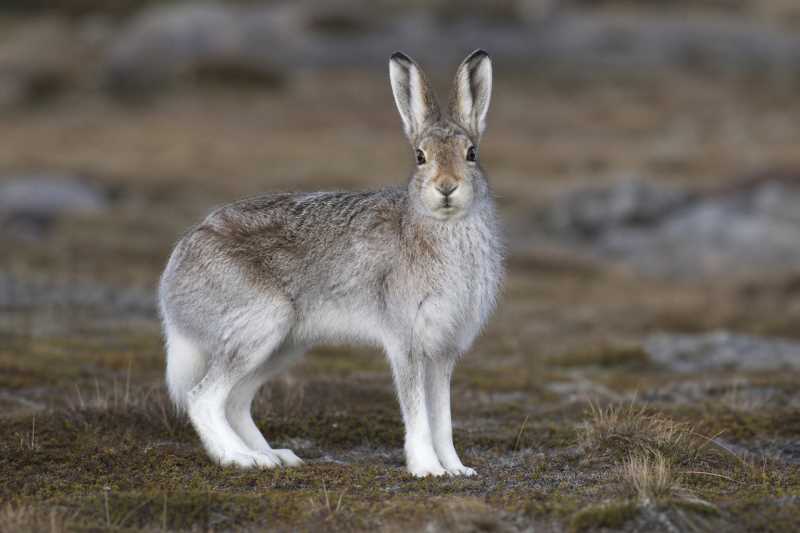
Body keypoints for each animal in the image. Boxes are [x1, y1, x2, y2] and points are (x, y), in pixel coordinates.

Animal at [158, 50, 503, 477]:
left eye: (472, 153)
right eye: (420, 157)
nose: (446, 187)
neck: (443, 225)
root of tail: (172, 285)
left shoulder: (443, 351)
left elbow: (444, 418)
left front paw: (457, 469)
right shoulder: (406, 339)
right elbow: (418, 413)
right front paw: (427, 468)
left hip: (281, 344)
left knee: (235, 401)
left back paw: (275, 456)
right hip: (260, 323)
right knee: (203, 398)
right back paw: (242, 458)